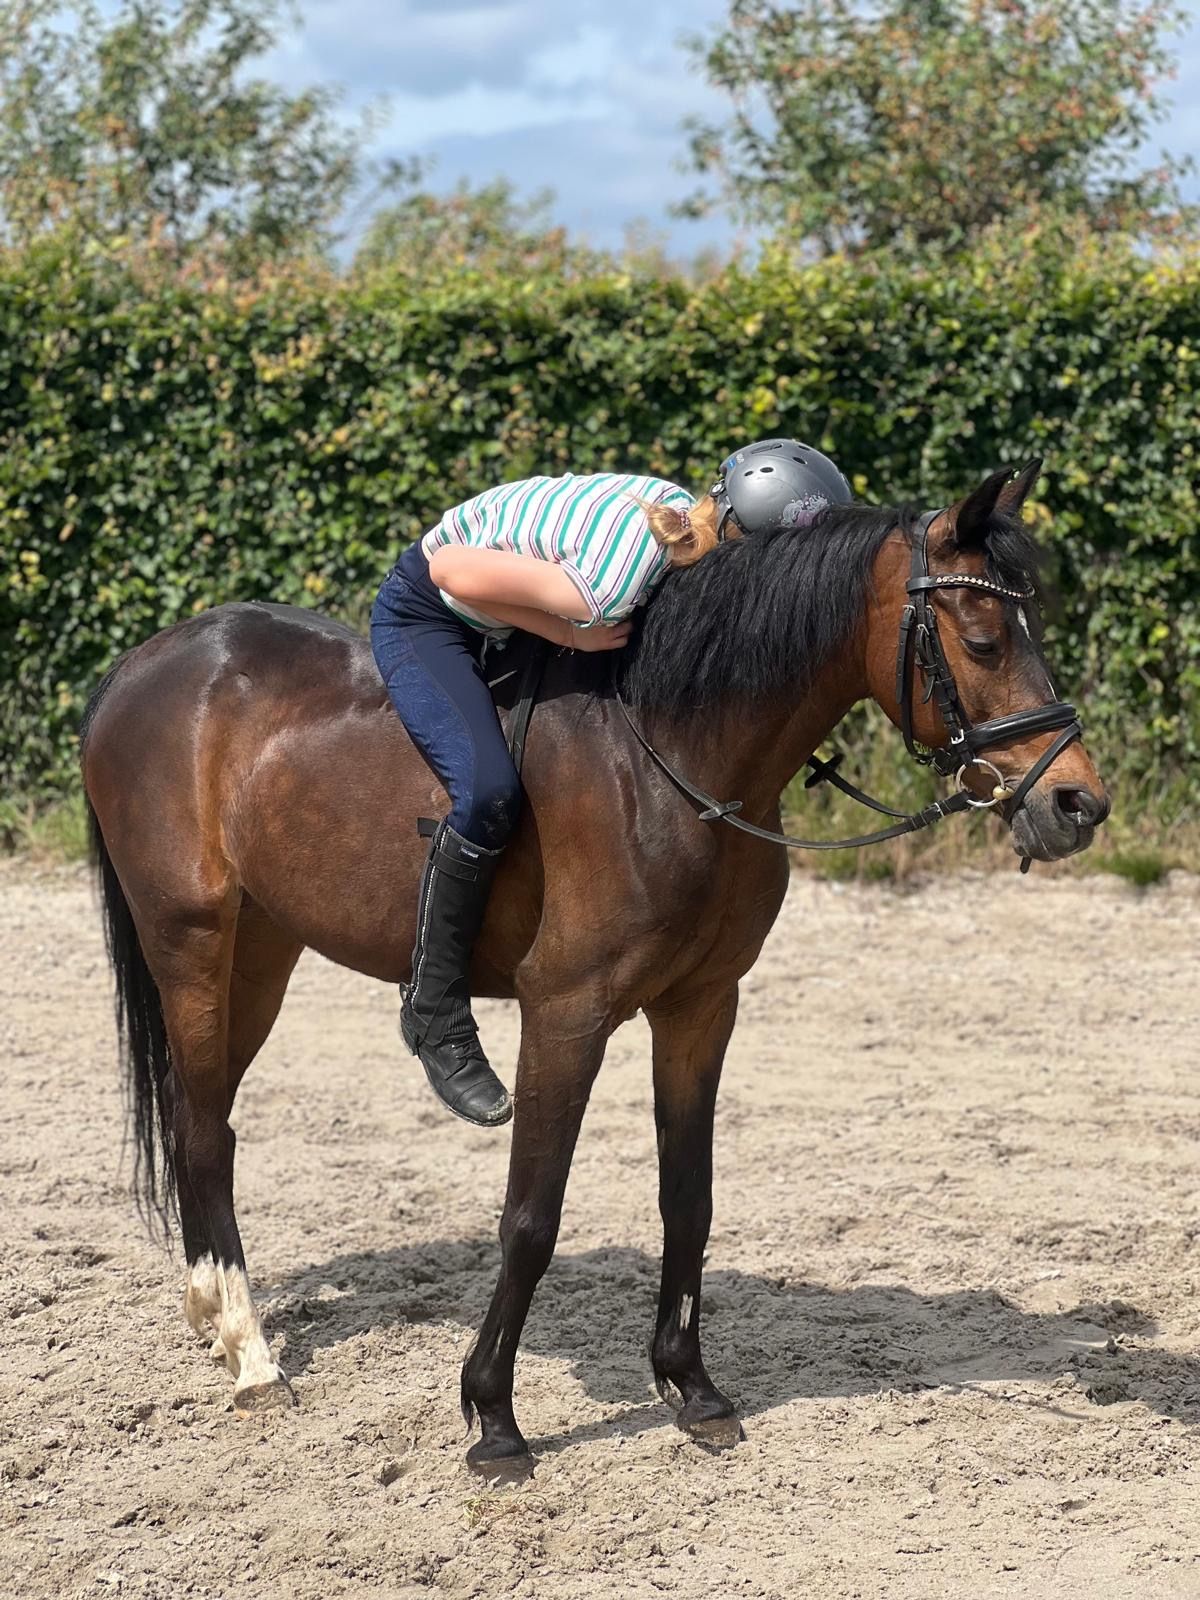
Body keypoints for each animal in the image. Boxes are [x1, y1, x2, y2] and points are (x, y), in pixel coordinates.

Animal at [80, 464, 1108, 1475]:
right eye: (981, 639)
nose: (1076, 803)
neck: (675, 755)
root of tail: (141, 665)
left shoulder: (701, 1006)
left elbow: (688, 1201)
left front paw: (693, 1390)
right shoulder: (565, 1014)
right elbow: (531, 1217)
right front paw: (493, 1419)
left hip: (263, 949)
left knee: (203, 1117)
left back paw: (214, 1317)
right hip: (191, 940)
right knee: (201, 1131)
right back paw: (252, 1357)